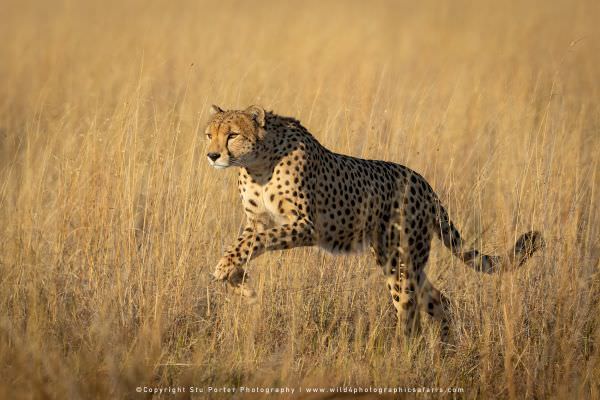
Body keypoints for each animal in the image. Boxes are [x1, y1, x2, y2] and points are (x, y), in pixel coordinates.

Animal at [205, 104, 544, 342]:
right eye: (210, 134)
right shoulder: (257, 221)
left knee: (410, 311)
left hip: (401, 259)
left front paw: (228, 272)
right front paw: (239, 281)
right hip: (397, 257)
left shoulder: (306, 225)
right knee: (438, 299)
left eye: (232, 135)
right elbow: (243, 243)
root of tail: (422, 181)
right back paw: (447, 349)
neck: (258, 162)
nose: (212, 155)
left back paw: (405, 353)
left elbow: (255, 242)